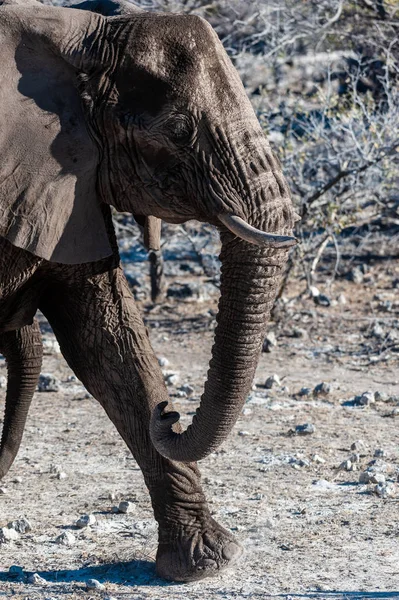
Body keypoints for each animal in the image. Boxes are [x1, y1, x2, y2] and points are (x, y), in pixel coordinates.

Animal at [0, 0, 298, 584]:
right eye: (179, 130)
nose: (171, 413)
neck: (75, 32)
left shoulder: (67, 181)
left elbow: (107, 341)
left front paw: (205, 564)